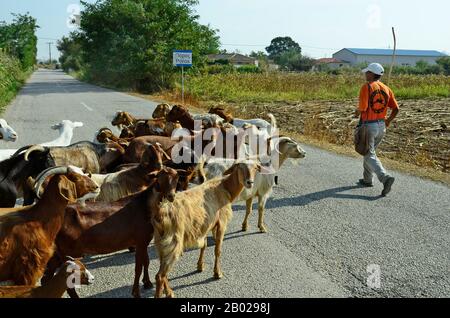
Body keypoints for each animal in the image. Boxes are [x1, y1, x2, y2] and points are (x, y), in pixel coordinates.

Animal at [152, 161, 260, 298]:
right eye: (240, 167)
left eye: (255, 168)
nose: (249, 182)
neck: (224, 188)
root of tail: (160, 213)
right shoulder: (221, 223)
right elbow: (217, 250)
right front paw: (217, 273)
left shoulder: (206, 225)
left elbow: (204, 245)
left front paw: (200, 266)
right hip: (173, 240)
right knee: (160, 275)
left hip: (161, 241)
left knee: (162, 270)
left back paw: (169, 292)